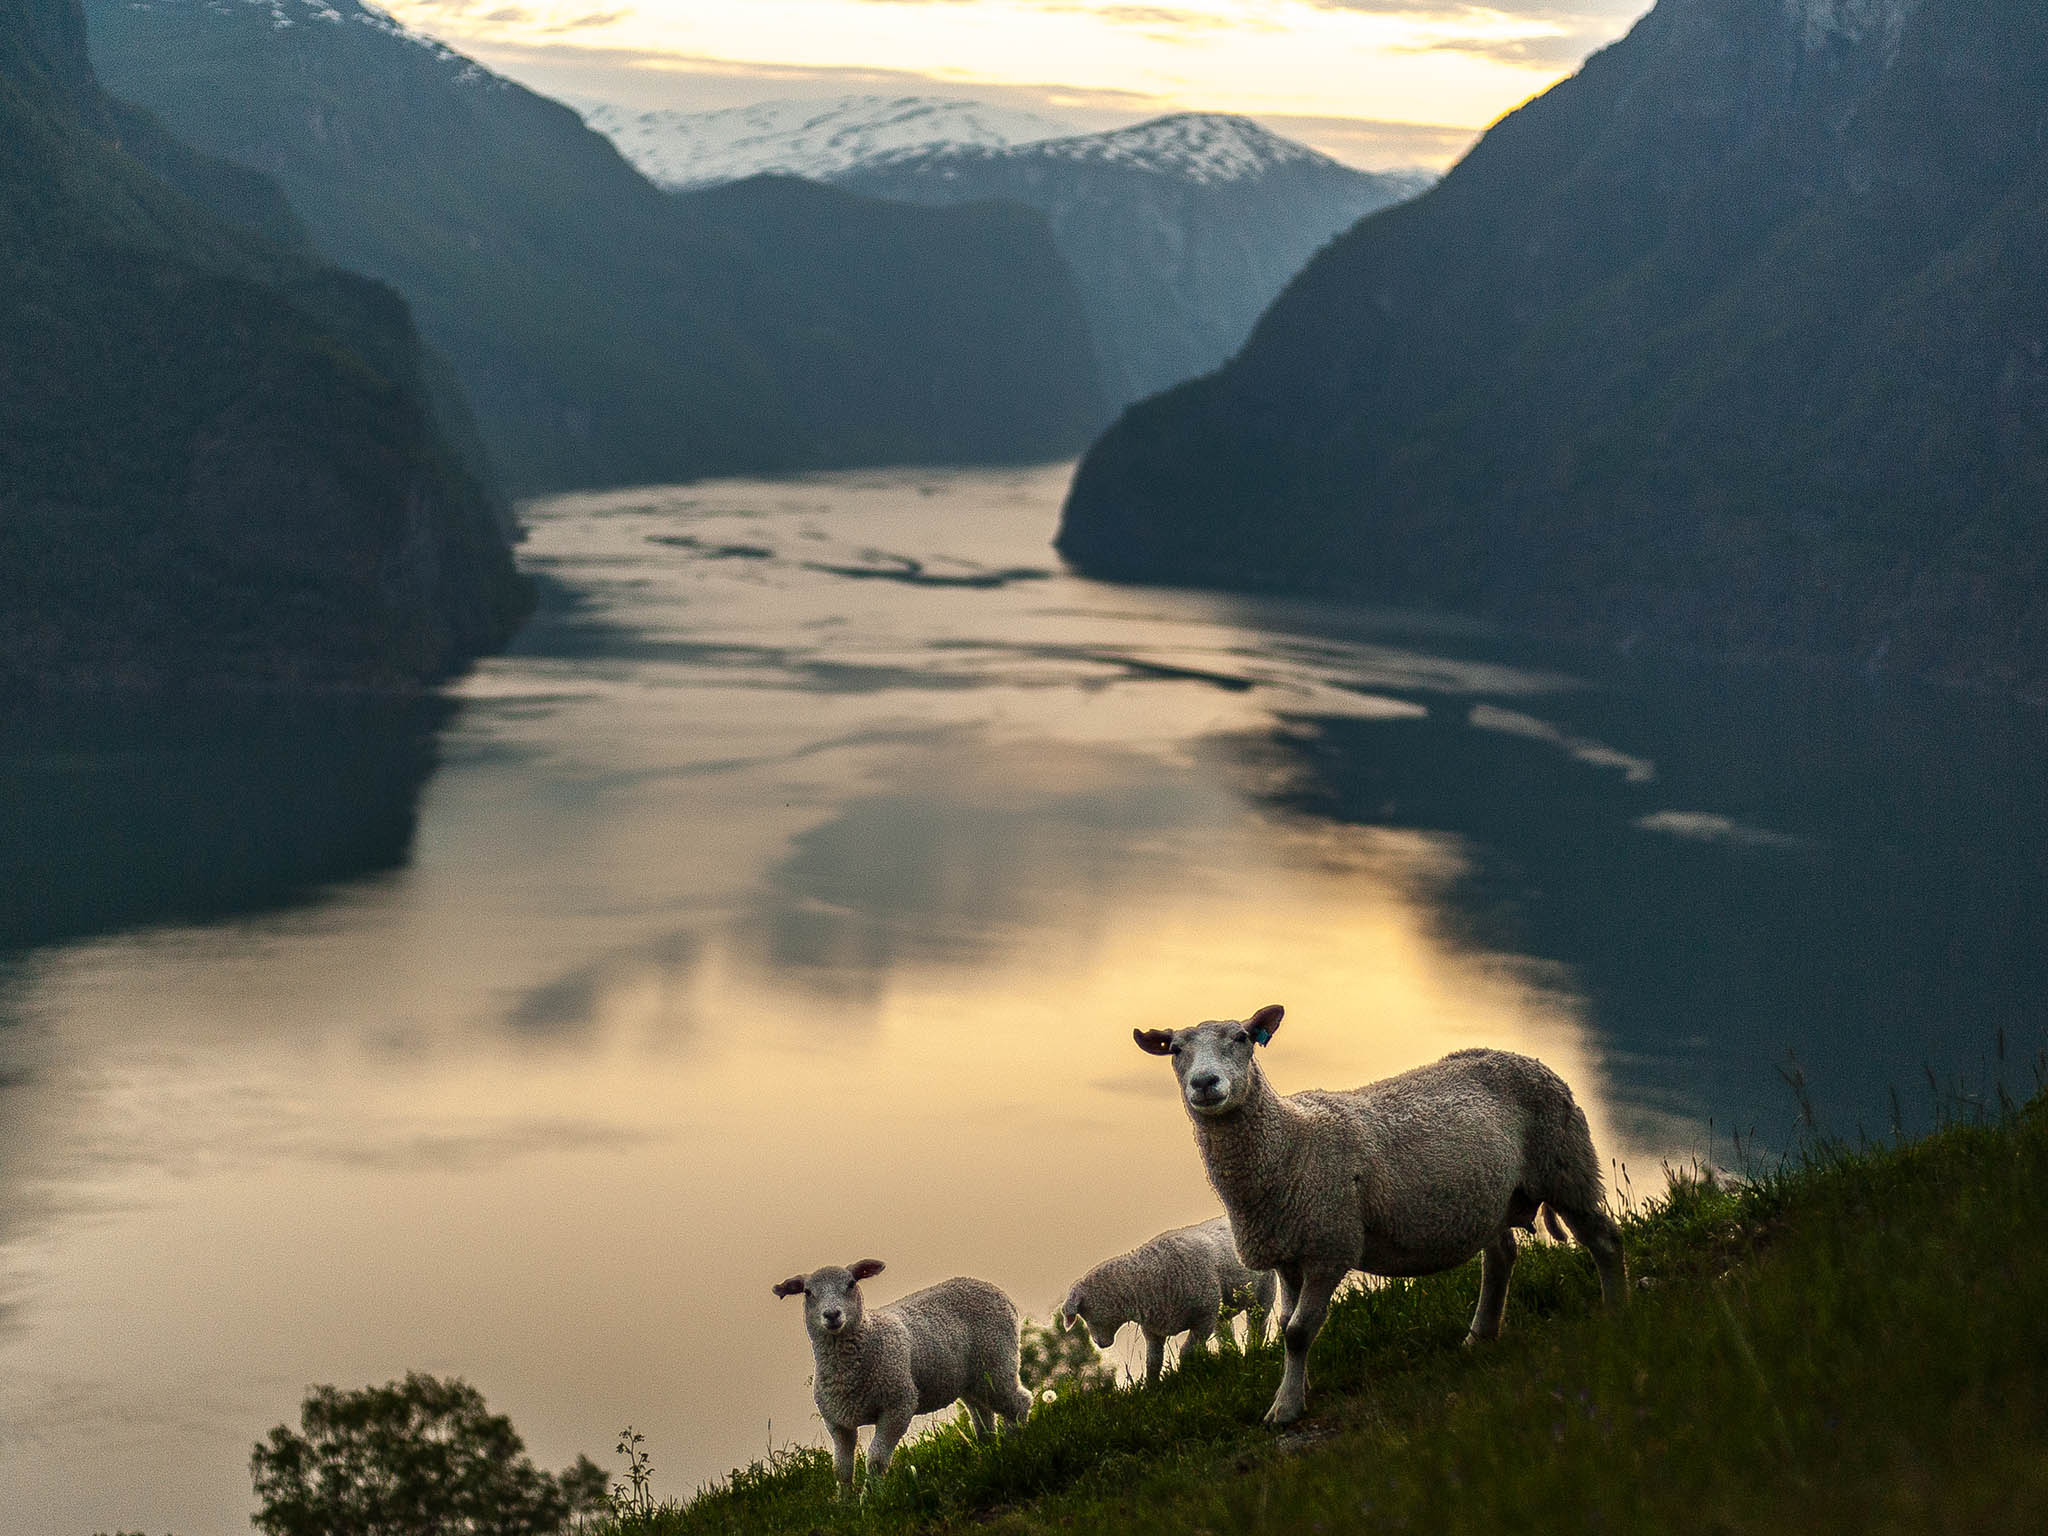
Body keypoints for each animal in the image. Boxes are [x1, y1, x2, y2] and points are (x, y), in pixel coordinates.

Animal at [770, 1261, 1032, 1490]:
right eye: (807, 1292)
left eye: (851, 1283)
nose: (832, 1315)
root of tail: (992, 1288)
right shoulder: (837, 1422)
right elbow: (842, 1471)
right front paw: (844, 1506)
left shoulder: (898, 1406)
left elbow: (875, 1461)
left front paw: (871, 1500)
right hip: (972, 1381)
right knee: (983, 1416)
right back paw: (988, 1453)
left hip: (996, 1362)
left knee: (1020, 1402)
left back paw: (1014, 1447)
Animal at [1064, 1220, 1269, 1392]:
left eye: (1085, 1312)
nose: (1100, 1343)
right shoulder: (1153, 1330)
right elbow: (1153, 1361)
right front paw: (1151, 1388)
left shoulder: (1204, 1318)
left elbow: (1187, 1352)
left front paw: (1187, 1377)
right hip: (1222, 1310)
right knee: (1225, 1332)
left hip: (1264, 1293)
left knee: (1257, 1325)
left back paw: (1254, 1350)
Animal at [1138, 1011, 1630, 1433]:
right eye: (1175, 1049)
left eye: (1242, 1038)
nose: (1205, 1083)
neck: (1290, 1142)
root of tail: (1522, 1057)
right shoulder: (1290, 1252)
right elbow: (1287, 1325)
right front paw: (1297, 1387)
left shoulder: (1328, 1244)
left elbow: (1298, 1331)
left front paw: (1287, 1408)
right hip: (1492, 1197)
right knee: (1501, 1258)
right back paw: (1480, 1335)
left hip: (1566, 1165)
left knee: (1605, 1240)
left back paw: (1616, 1312)